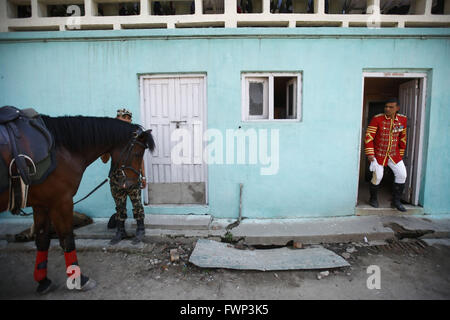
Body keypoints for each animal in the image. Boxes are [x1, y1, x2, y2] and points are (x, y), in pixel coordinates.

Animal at [0, 115, 155, 296]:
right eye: (137, 154)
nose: (131, 184)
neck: (62, 148)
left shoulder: (42, 203)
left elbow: (43, 239)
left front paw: (43, 280)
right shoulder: (61, 201)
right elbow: (67, 240)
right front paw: (79, 279)